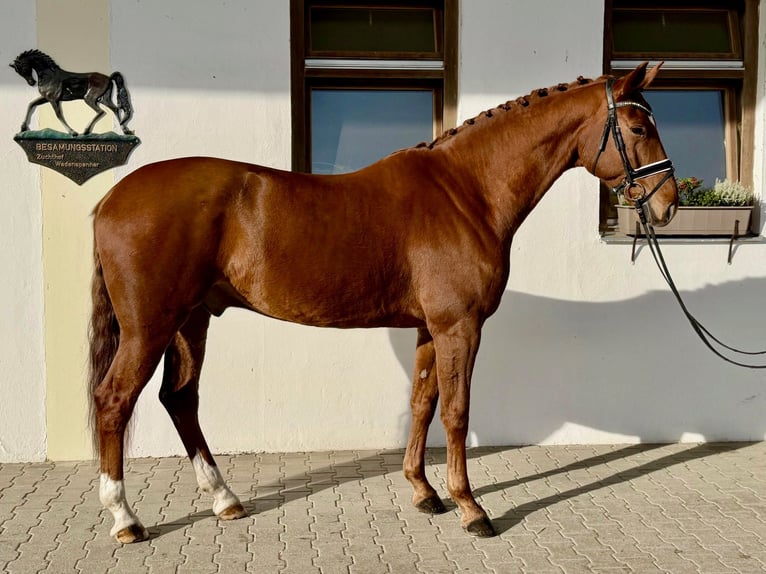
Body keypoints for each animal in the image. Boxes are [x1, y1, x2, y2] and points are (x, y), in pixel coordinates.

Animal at [88, 62, 678, 543]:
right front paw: (471, 509)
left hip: (192, 321)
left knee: (180, 399)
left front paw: (424, 492)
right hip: (150, 327)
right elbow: (457, 412)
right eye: (638, 128)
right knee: (114, 401)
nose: (669, 204)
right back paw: (125, 519)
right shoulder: (459, 326)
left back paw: (224, 499)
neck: (467, 191)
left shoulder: (429, 328)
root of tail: (112, 197)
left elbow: (423, 404)